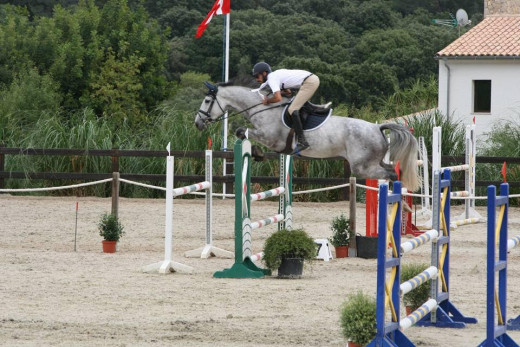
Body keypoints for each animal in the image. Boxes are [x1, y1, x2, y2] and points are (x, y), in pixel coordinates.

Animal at [193, 82, 420, 193]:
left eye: (207, 101)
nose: (197, 123)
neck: (262, 108)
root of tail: (377, 127)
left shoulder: (272, 138)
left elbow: (241, 131)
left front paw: (257, 153)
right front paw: (257, 154)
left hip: (362, 167)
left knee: (390, 173)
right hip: (373, 162)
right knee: (392, 169)